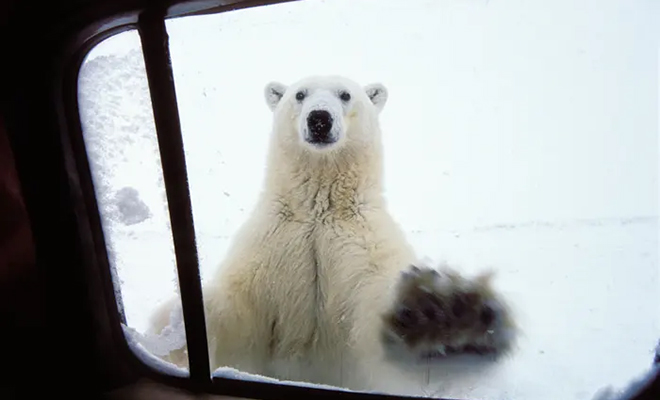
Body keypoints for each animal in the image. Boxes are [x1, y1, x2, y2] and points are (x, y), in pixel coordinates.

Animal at [147, 75, 520, 390]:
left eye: (345, 94)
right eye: (299, 94)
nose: (319, 119)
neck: (319, 210)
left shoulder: (359, 244)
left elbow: (372, 317)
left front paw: (443, 313)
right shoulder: (272, 244)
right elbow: (238, 315)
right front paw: (174, 328)